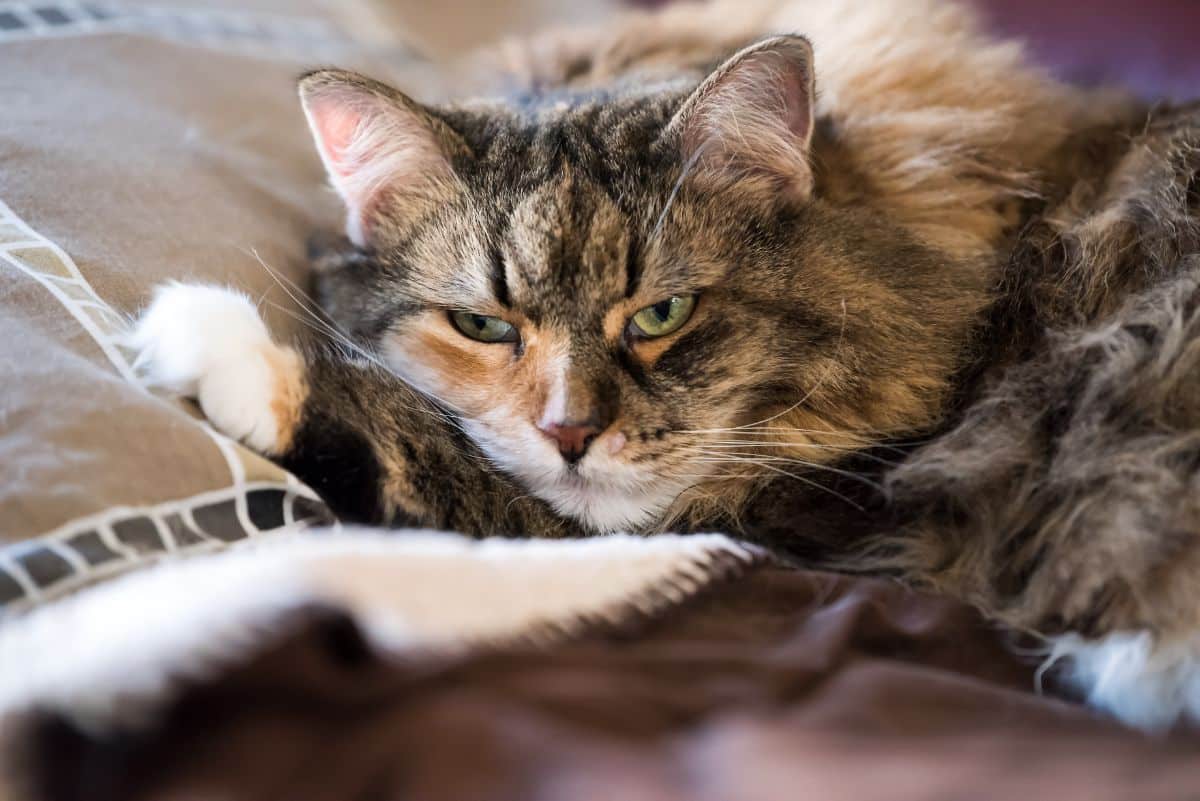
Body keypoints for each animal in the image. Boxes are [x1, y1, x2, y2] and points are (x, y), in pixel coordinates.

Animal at [129, 0, 1200, 729]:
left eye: (662, 314)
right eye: (481, 325)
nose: (569, 432)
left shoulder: (801, 514)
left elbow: (421, 448)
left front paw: (203, 336)